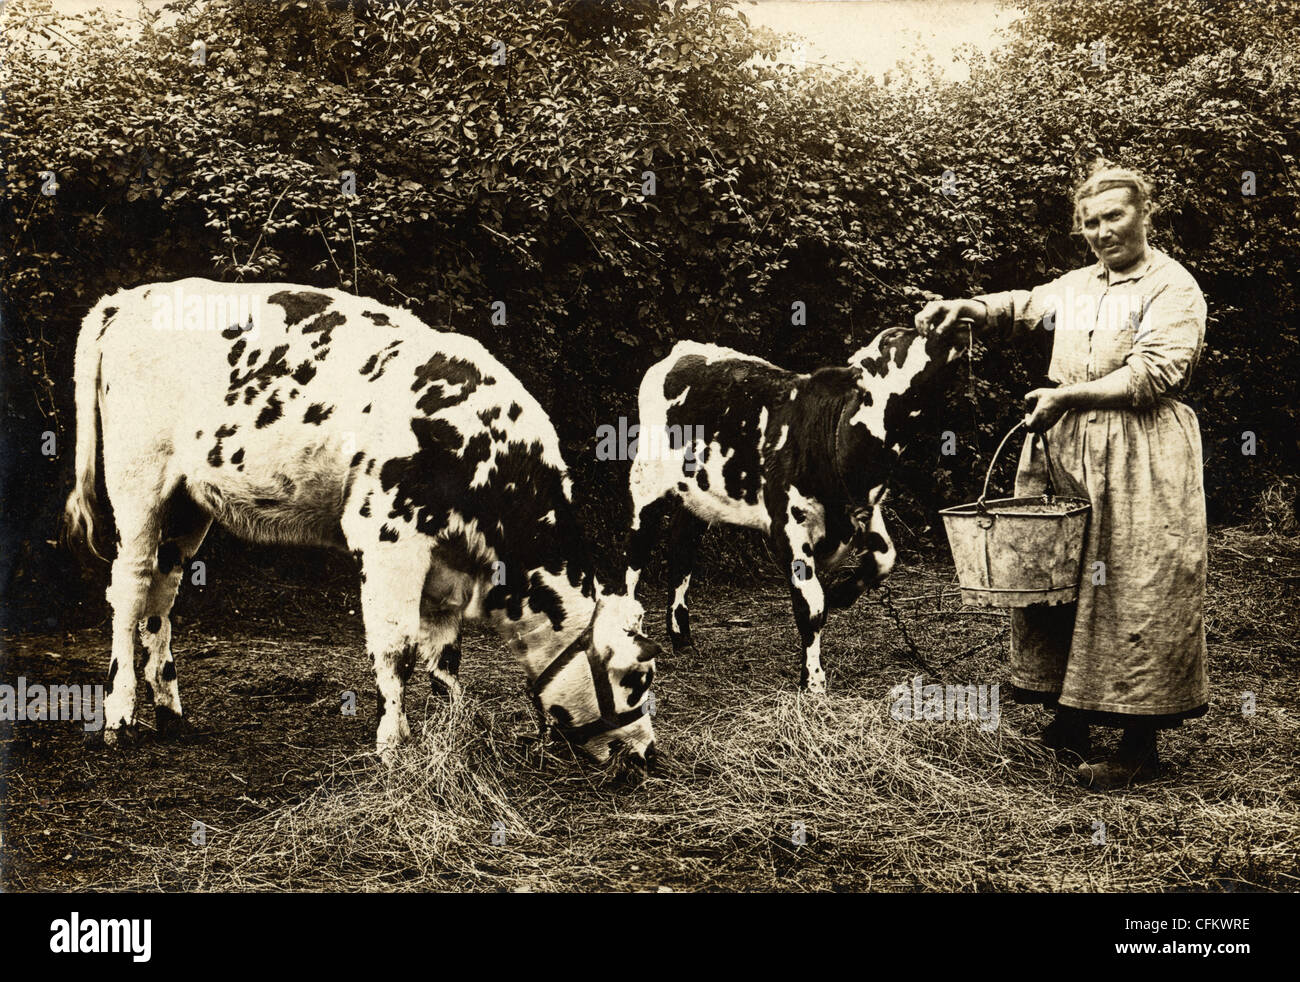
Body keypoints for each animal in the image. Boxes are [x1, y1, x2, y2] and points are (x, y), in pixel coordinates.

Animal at [624, 326, 972, 697]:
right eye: (894, 341)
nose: (957, 325)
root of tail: (683, 351)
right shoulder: (790, 525)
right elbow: (811, 605)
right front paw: (814, 683)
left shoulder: (865, 509)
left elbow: (884, 559)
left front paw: (842, 593)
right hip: (645, 483)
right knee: (634, 557)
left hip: (698, 497)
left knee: (681, 551)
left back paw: (682, 638)